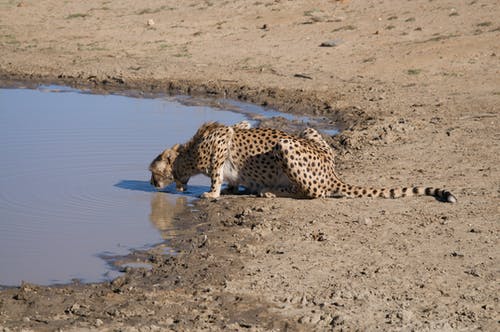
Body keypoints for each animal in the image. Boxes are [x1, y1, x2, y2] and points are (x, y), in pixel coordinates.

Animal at [149, 120, 458, 201]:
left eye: (152, 171)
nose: (151, 184)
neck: (187, 154)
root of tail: (332, 171)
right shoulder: (240, 125)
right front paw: (232, 187)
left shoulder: (221, 139)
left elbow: (216, 171)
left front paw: (212, 194)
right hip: (307, 132)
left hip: (285, 144)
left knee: (314, 192)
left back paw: (270, 190)